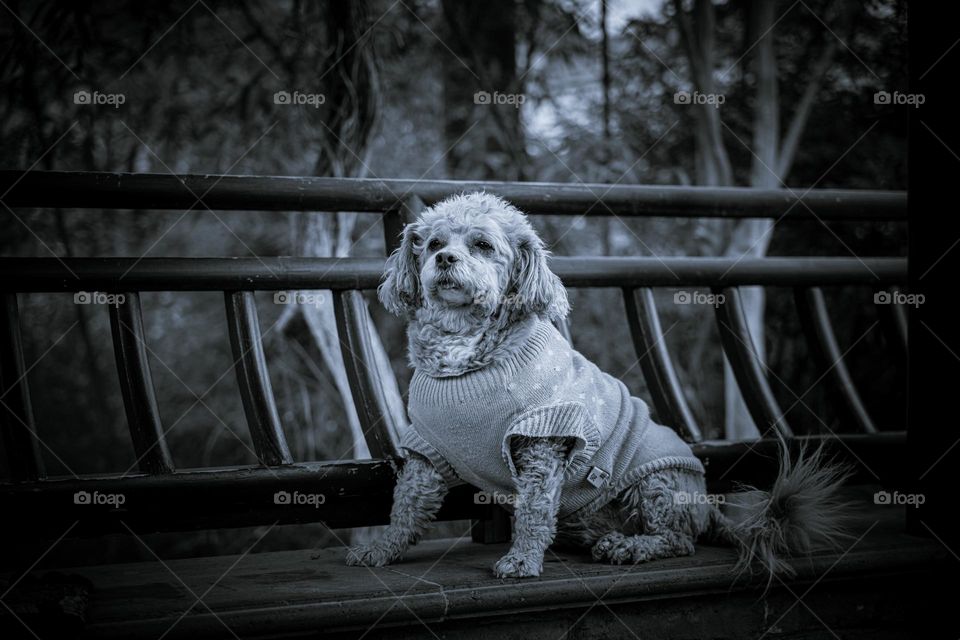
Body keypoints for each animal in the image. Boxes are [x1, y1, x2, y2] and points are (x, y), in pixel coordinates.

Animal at [344, 191, 848, 580]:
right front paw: (382, 549)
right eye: (432, 243)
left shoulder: (542, 437)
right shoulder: (425, 448)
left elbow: (532, 510)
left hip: (656, 483)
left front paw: (522, 561)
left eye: (483, 245)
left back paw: (630, 547)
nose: (445, 258)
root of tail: (708, 506)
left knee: (678, 538)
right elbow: (406, 505)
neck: (465, 355)